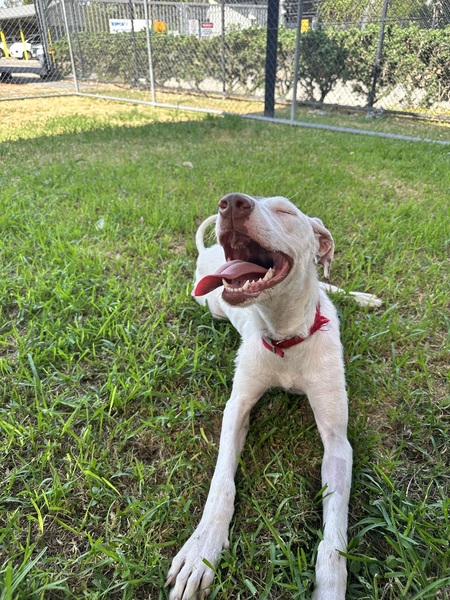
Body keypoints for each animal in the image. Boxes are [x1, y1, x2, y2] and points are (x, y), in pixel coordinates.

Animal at [166, 193, 380, 600]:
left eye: (285, 211)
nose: (230, 203)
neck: (286, 336)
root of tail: (209, 251)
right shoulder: (237, 407)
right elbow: (222, 481)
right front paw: (201, 549)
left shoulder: (337, 441)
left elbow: (335, 531)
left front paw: (330, 585)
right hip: (213, 307)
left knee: (328, 287)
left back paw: (363, 298)